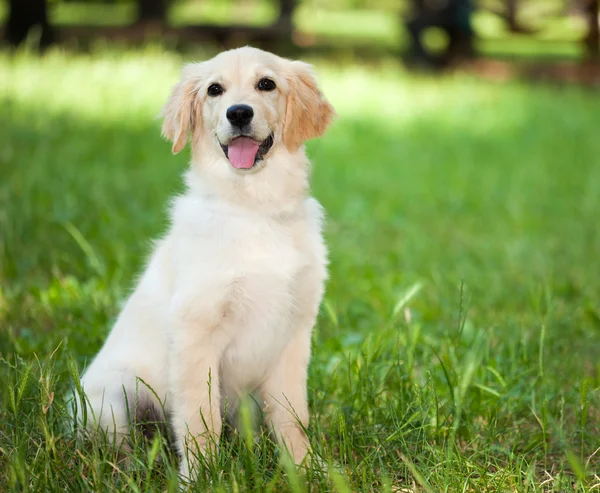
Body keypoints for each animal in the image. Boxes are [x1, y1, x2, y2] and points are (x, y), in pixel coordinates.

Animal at [76, 46, 332, 476]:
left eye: (267, 84)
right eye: (215, 90)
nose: (239, 113)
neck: (253, 207)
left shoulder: (294, 332)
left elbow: (292, 414)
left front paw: (306, 468)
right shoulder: (195, 334)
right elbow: (199, 419)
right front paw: (200, 476)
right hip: (113, 397)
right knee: (120, 444)